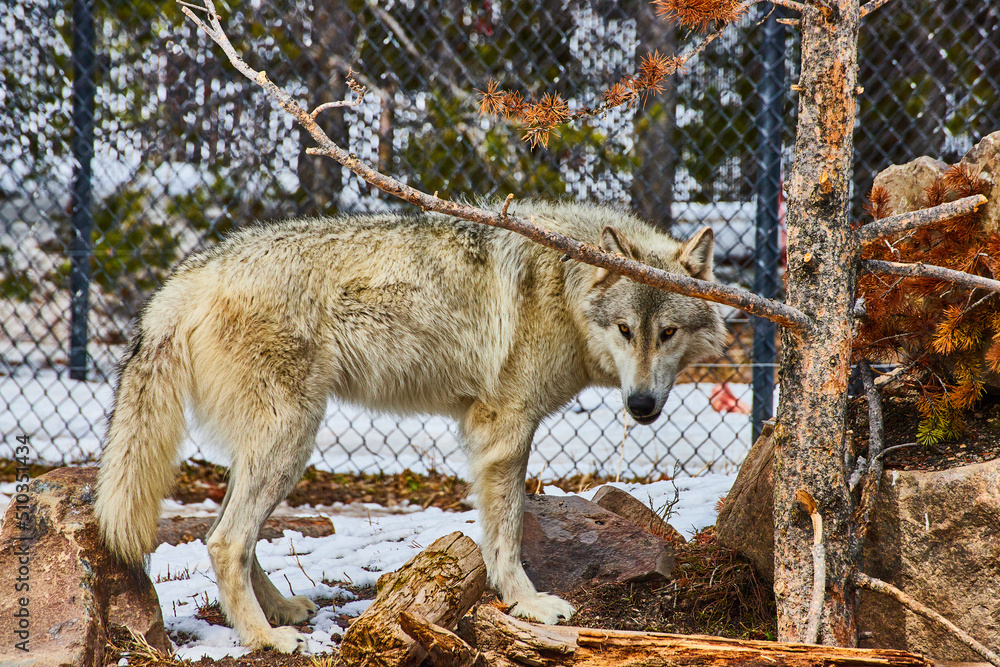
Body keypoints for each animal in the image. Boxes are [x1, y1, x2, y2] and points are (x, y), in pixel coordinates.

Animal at [94, 200, 727, 652]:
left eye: (666, 333)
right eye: (625, 330)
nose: (641, 404)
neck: (562, 288)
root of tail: (186, 277)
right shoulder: (505, 433)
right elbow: (507, 535)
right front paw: (528, 604)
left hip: (271, 450)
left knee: (226, 535)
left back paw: (280, 612)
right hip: (290, 442)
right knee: (226, 540)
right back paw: (266, 638)